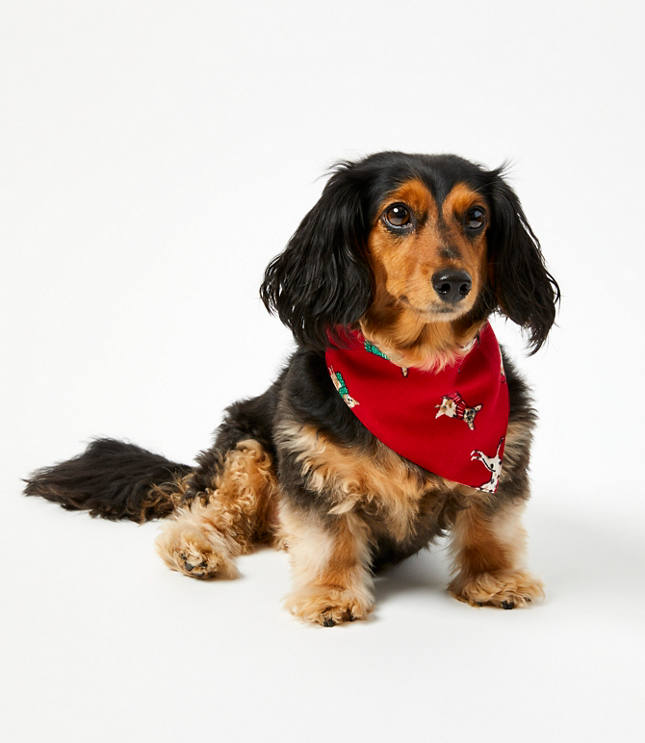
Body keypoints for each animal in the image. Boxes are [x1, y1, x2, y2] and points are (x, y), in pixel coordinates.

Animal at [23, 153, 560, 628]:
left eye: (476, 217)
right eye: (397, 214)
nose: (455, 283)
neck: (416, 369)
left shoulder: (503, 459)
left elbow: (489, 528)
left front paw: (494, 580)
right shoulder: (313, 465)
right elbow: (330, 539)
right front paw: (329, 593)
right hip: (247, 450)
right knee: (213, 513)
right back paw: (194, 548)